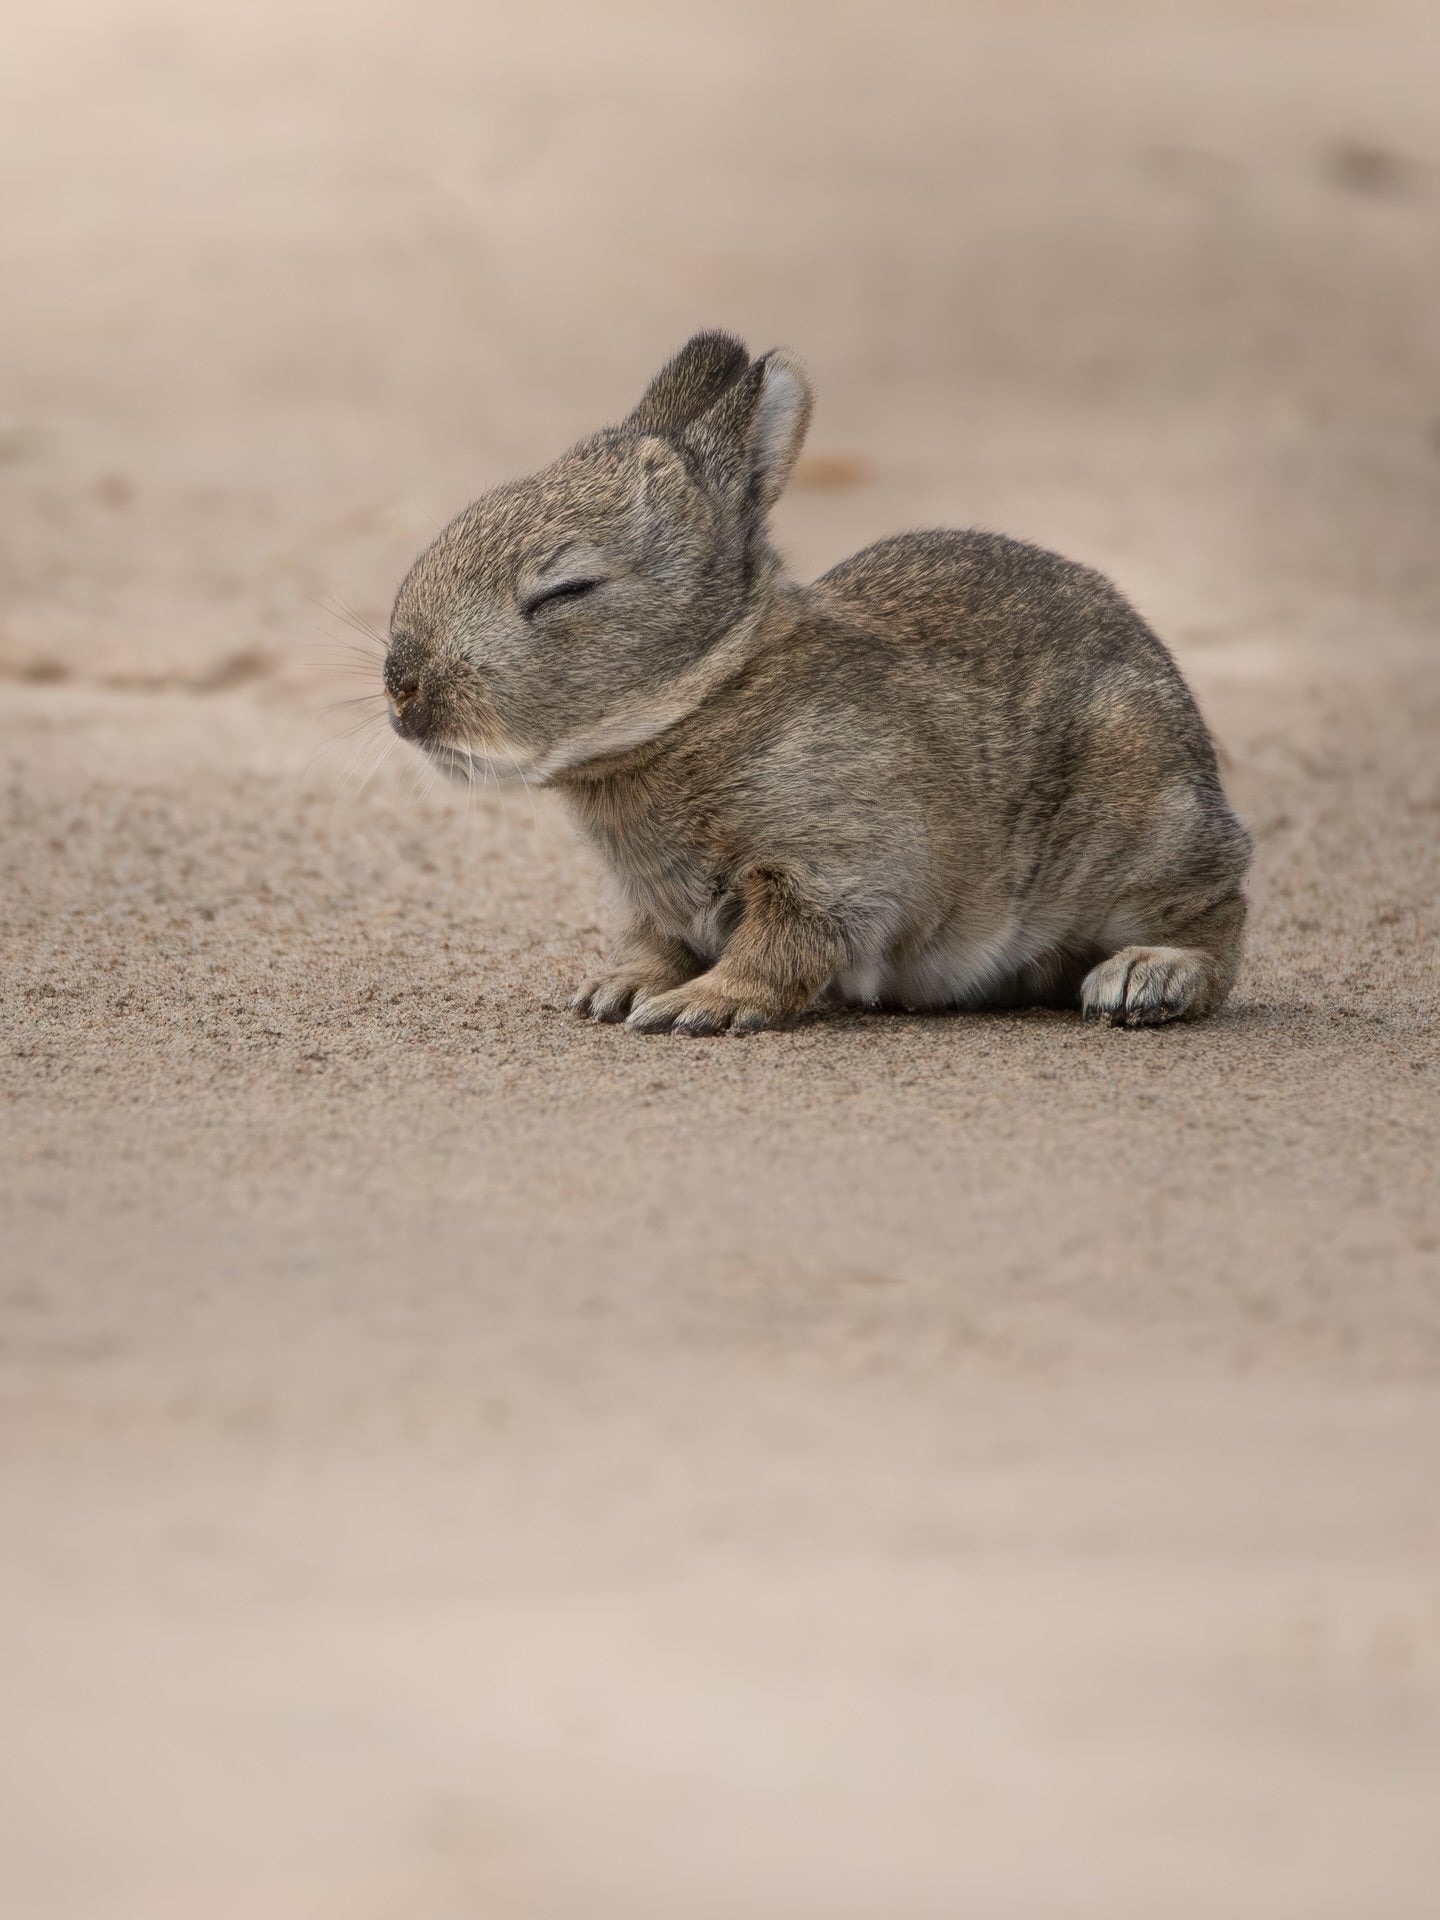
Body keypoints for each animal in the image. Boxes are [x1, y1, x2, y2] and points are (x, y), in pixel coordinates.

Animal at [383, 331, 1251, 1035]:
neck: (709, 698)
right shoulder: (655, 902)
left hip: (1137, 816)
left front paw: (704, 1006)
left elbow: (782, 946)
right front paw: (621, 991)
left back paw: (1147, 977)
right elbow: (659, 947)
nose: (402, 685)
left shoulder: (831, 867)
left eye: (567, 590)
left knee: (1220, 912)